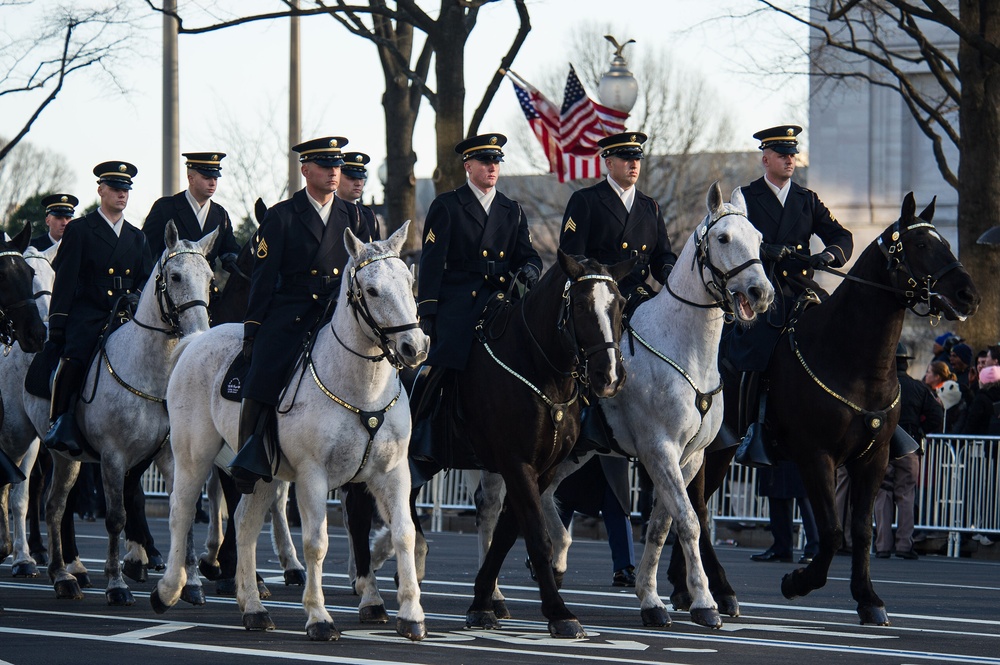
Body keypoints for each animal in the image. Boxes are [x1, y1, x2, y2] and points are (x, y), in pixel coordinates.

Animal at [22, 222, 218, 600]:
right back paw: (51, 569)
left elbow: (183, 510)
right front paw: (116, 583)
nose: (200, 333)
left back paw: (64, 574)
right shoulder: (113, 457)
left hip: (69, 457)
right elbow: (115, 517)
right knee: (44, 501)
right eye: (174, 276)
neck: (152, 371)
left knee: (55, 507)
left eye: (210, 278)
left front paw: (190, 583)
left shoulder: (170, 456)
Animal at [153, 222, 430, 640]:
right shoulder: (313, 475)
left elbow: (404, 533)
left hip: (262, 473)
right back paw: (171, 588)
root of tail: (196, 339)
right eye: (372, 290)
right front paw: (319, 616)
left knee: (244, 524)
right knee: (181, 512)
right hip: (193, 456)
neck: (361, 387)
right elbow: (316, 542)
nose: (415, 346)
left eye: (410, 282)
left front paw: (411, 614)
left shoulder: (392, 473)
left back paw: (253, 607)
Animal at [480, 182, 776, 628]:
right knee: (493, 508)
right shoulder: (660, 450)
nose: (761, 293)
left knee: (545, 495)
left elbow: (661, 526)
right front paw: (704, 601)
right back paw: (494, 595)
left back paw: (557, 556)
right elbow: (689, 521)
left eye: (758, 238)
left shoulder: (689, 457)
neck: (685, 349)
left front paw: (651, 599)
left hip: (575, 452)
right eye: (723, 238)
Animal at [668, 192, 980, 624]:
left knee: (689, 505)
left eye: (946, 243)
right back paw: (720, 590)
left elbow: (861, 530)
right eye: (920, 245)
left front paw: (868, 598)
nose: (969, 295)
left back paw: (685, 587)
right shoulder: (815, 456)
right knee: (696, 506)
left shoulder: (873, 458)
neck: (852, 358)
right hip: (715, 449)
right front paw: (798, 582)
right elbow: (832, 531)